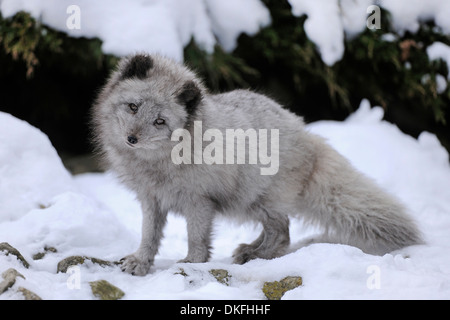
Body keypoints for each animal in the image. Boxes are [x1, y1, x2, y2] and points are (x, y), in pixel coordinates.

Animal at [90, 53, 422, 276]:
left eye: (159, 121)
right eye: (133, 107)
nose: (132, 139)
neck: (160, 162)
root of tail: (306, 133)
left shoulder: (199, 202)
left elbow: (196, 238)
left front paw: (192, 264)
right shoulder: (151, 199)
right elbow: (149, 235)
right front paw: (140, 262)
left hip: (255, 198)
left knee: (283, 231)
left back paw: (257, 256)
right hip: (250, 203)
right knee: (279, 230)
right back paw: (251, 249)